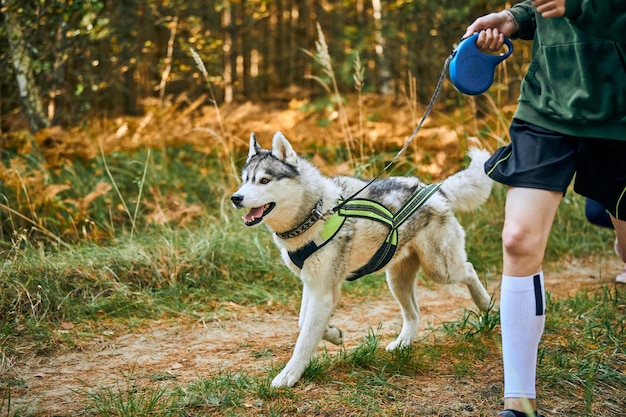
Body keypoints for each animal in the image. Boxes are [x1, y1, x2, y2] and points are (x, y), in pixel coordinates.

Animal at [230, 131, 492, 386]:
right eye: (245, 180)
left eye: (264, 180)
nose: (236, 198)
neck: (314, 214)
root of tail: (436, 190)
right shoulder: (313, 285)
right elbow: (303, 323)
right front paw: (333, 334)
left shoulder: (323, 291)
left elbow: (304, 340)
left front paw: (289, 375)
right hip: (397, 281)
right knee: (414, 314)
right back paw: (402, 344)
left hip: (439, 270)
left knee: (469, 269)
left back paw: (486, 305)